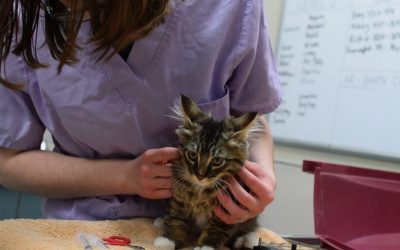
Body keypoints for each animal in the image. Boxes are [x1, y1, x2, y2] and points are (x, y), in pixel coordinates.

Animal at [155, 94, 260, 249]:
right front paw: (168, 240)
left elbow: (216, 229)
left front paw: (206, 246)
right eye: (193, 155)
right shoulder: (179, 197)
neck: (200, 190)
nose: (200, 175)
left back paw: (247, 239)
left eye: (217, 160)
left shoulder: (228, 210)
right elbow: (176, 219)